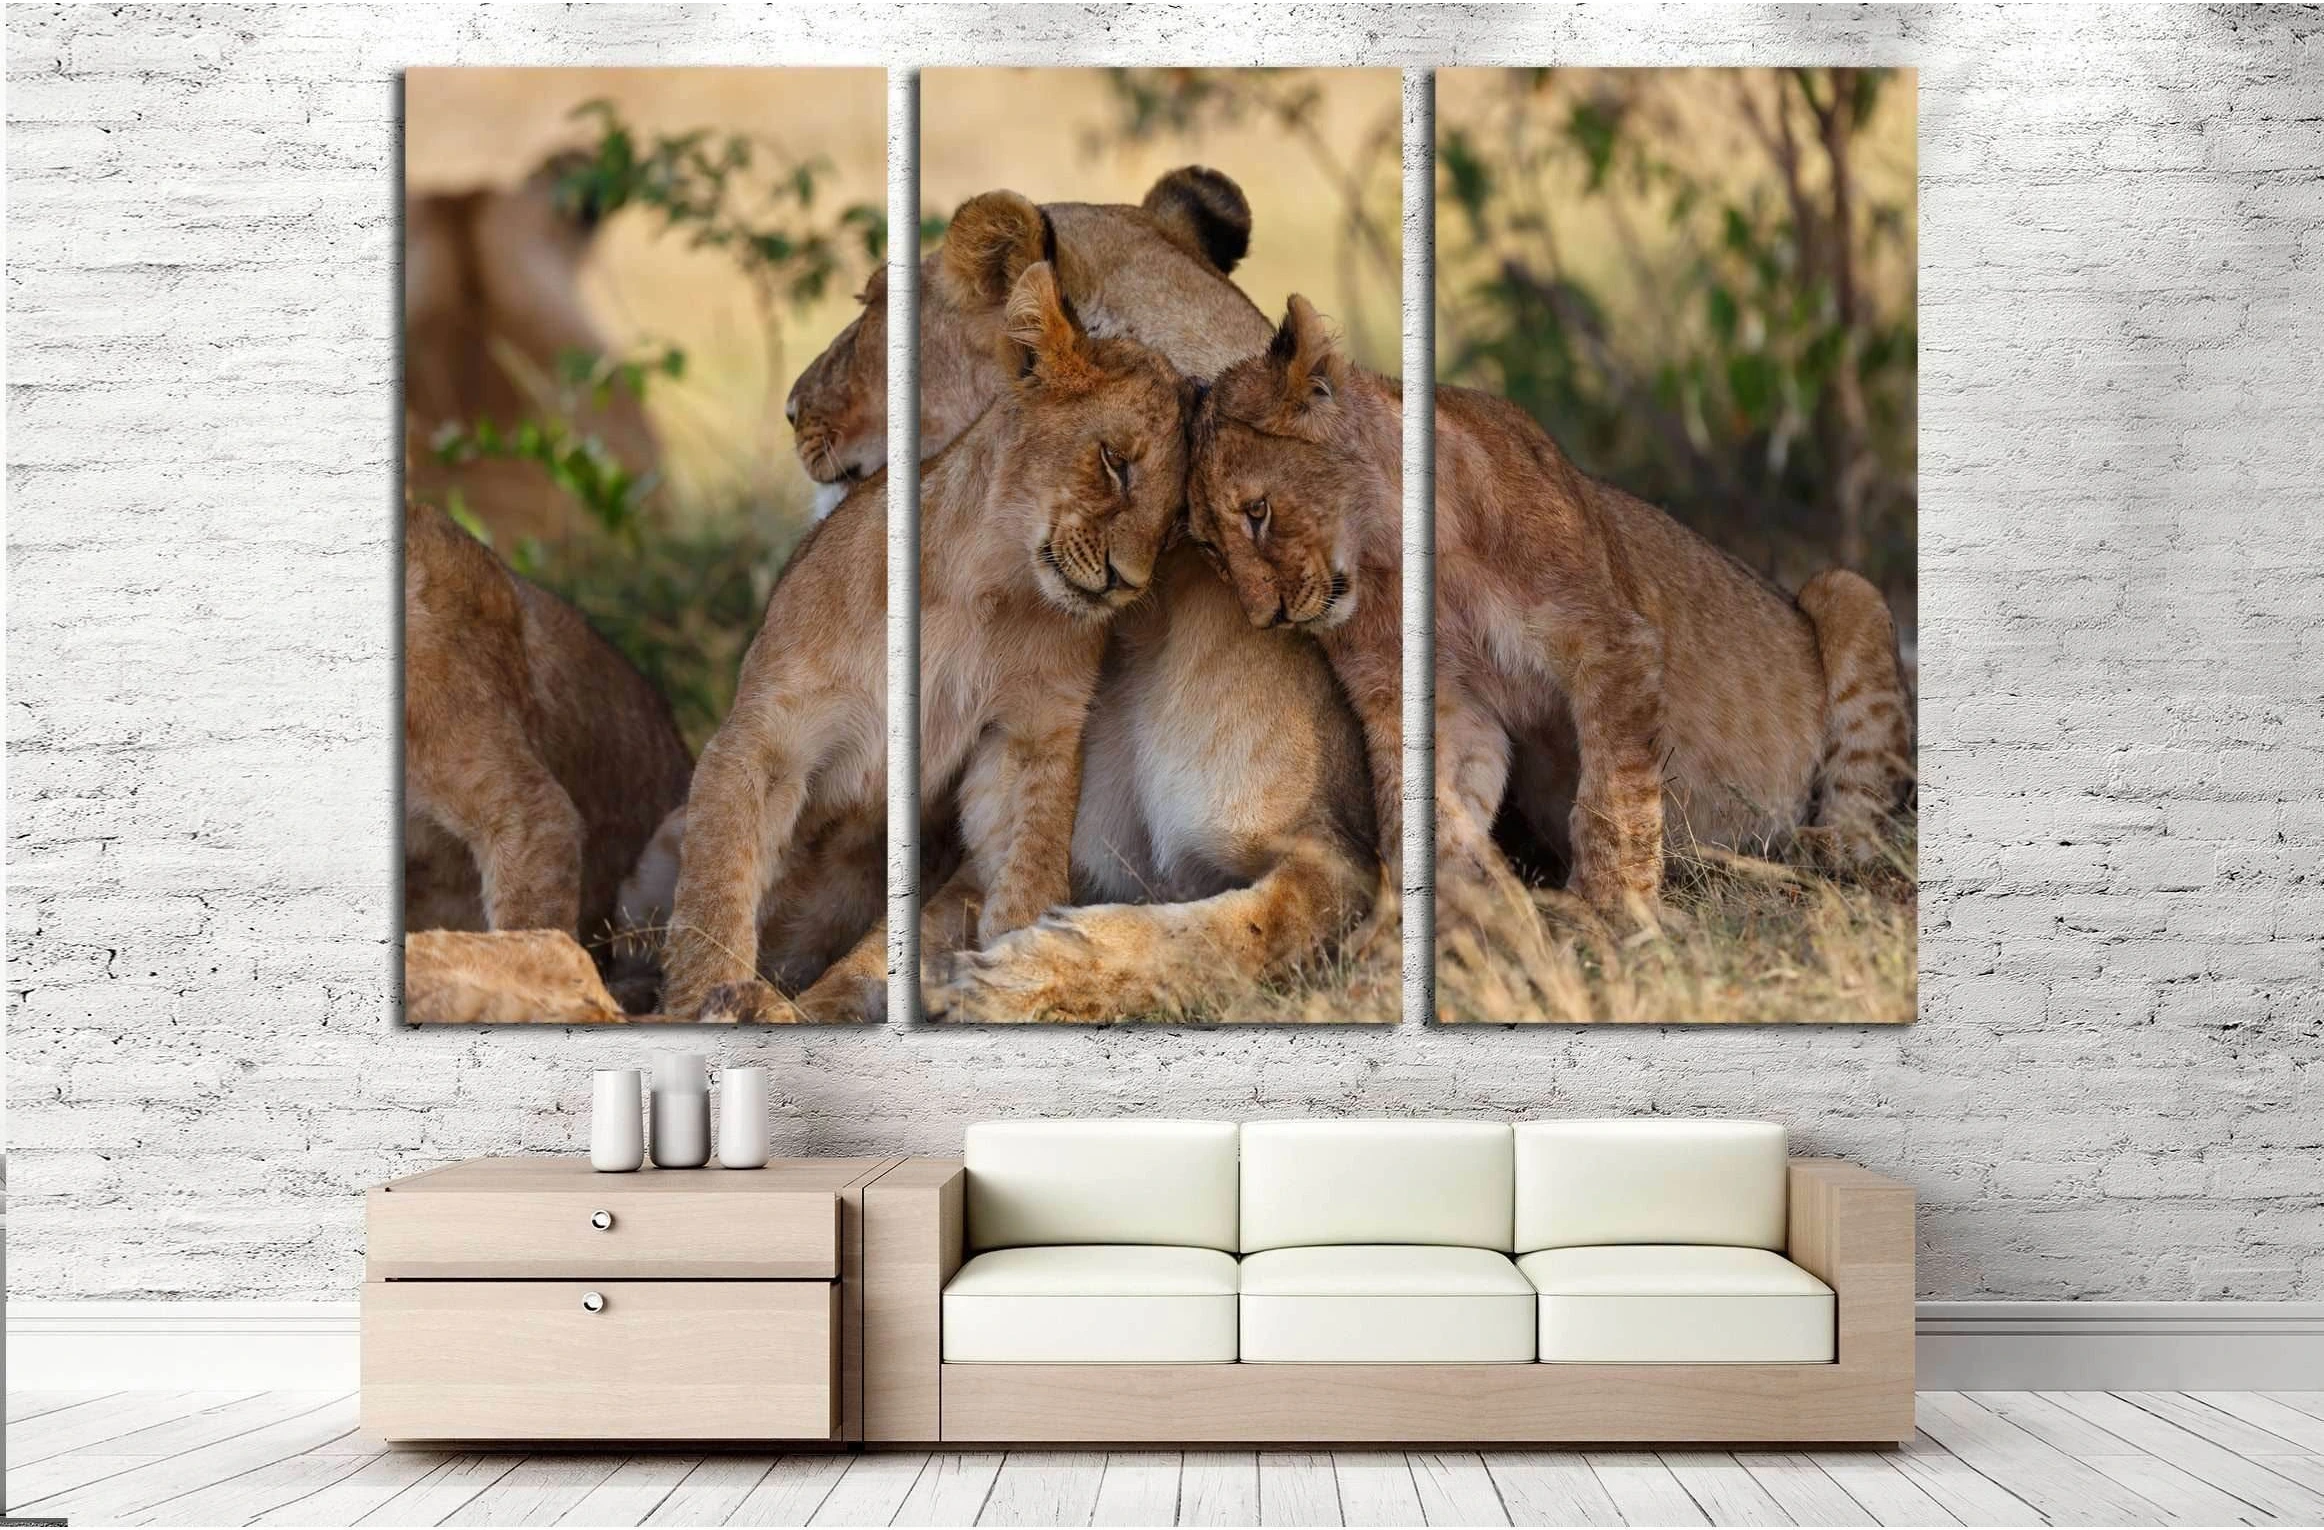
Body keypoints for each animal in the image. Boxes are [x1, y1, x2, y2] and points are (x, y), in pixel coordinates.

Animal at [659, 262, 1198, 1022]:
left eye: (1177, 519)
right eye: (1116, 463)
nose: (1129, 582)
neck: (985, 587)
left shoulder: (1027, 736)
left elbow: (1027, 869)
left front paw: (1021, 976)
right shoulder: (768, 736)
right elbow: (715, 885)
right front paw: (704, 1000)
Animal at [779, 172, 1378, 1022]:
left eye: (875, 306)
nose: (792, 410)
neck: (1144, 615)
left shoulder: (1334, 859)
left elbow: (1213, 938)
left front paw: (1015, 977)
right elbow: (876, 954)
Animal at [1186, 294, 1915, 925]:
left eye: (1258, 512)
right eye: (1211, 550)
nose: (1265, 618)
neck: (1397, 560)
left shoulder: (1611, 643)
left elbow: (1612, 793)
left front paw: (1612, 905)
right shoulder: (1440, 702)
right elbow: (1433, 806)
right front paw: (1445, 914)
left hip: (1846, 590)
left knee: (1869, 812)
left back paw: (1814, 846)